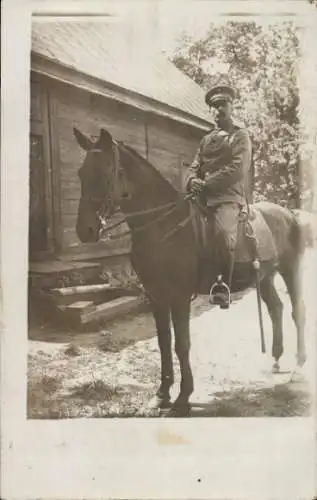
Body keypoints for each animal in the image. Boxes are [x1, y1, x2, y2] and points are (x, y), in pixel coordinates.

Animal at [73, 127, 304, 416]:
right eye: (81, 173)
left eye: (105, 173)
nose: (85, 230)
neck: (163, 226)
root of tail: (289, 214)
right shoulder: (156, 297)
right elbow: (163, 343)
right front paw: (162, 394)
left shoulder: (180, 297)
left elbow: (181, 344)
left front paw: (183, 397)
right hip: (264, 277)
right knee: (276, 308)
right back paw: (275, 359)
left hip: (290, 270)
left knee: (297, 311)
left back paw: (299, 364)